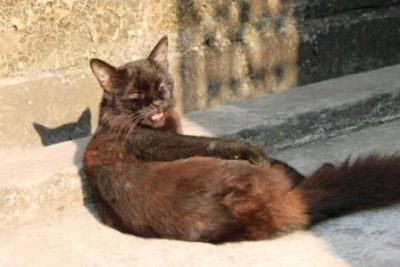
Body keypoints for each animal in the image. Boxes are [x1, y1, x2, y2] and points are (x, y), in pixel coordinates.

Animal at [83, 35, 400, 243]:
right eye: (136, 94)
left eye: (162, 84)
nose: (159, 103)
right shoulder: (170, 142)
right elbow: (215, 142)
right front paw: (257, 152)